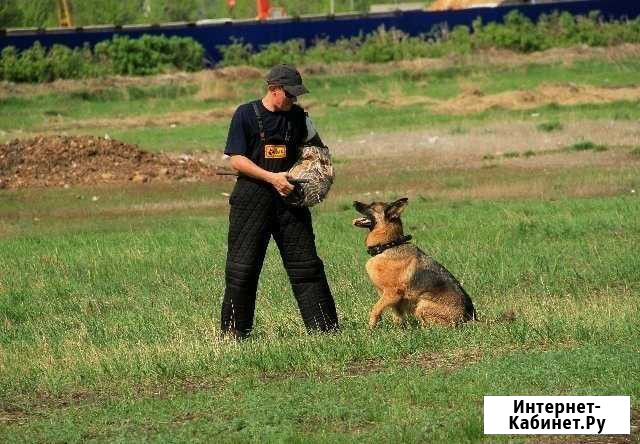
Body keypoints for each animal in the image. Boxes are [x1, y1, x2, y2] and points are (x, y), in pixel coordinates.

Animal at [352, 198, 478, 330]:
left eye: (372, 205)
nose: (354, 202)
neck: (389, 245)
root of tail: (469, 318)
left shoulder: (392, 294)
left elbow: (375, 310)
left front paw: (370, 328)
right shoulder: (395, 300)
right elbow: (397, 316)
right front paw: (399, 330)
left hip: (421, 305)